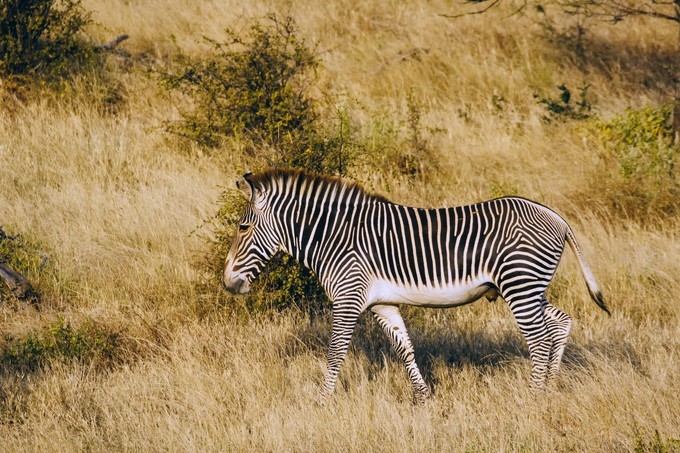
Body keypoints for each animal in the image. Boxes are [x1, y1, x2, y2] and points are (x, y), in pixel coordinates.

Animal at [223, 169, 612, 400]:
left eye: (243, 227)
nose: (227, 283)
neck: (333, 237)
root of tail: (555, 216)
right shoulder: (381, 302)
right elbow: (404, 348)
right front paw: (424, 399)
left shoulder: (348, 297)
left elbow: (335, 353)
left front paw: (322, 402)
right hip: (528, 286)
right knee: (560, 323)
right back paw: (551, 388)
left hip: (520, 284)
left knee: (539, 339)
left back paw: (533, 397)